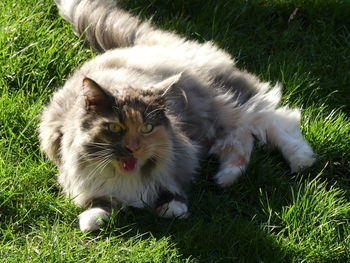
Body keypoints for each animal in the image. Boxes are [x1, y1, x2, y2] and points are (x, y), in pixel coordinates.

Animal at [39, 0, 318, 232]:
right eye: (115, 129)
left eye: (147, 128)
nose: (133, 147)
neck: (129, 174)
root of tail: (139, 45)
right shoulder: (75, 172)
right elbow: (97, 202)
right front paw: (92, 219)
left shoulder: (181, 156)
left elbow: (172, 190)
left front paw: (173, 208)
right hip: (219, 120)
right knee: (242, 138)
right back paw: (225, 178)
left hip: (225, 102)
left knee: (274, 119)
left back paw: (301, 161)